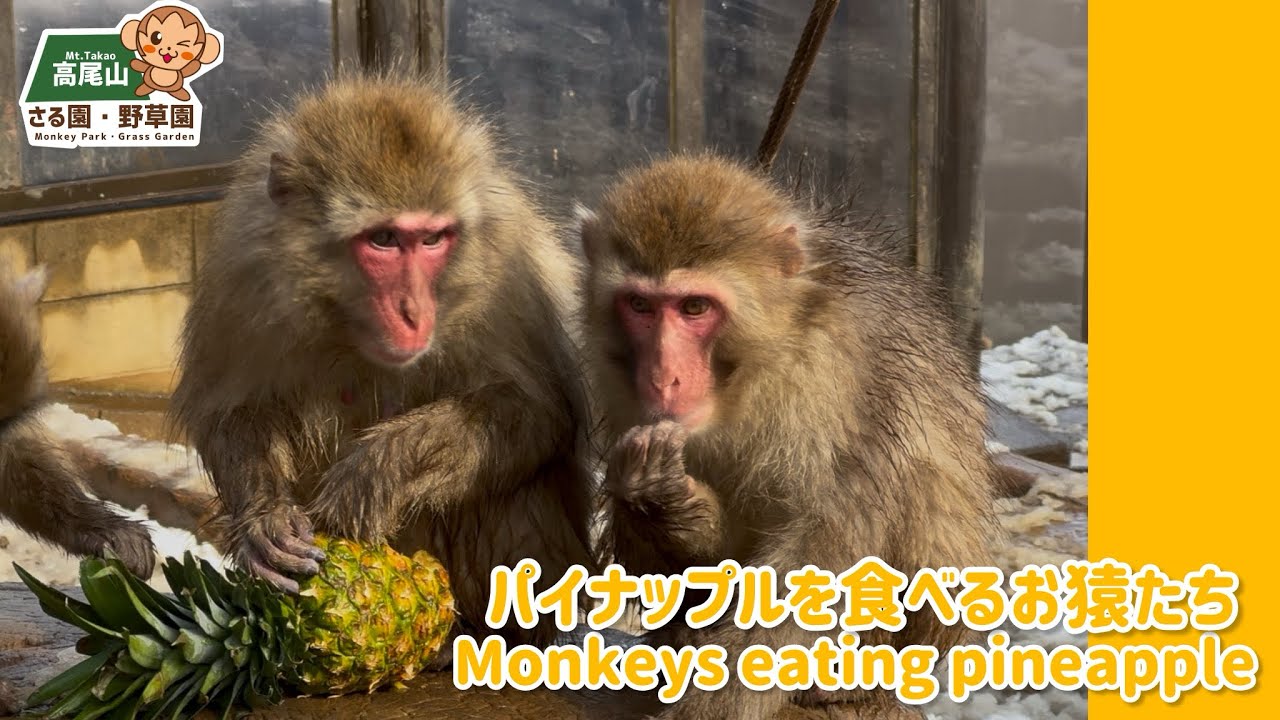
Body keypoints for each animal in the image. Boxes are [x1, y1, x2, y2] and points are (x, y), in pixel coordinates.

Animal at [170, 72, 596, 646]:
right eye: (384, 239)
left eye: (433, 238)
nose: (413, 311)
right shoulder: (242, 275)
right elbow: (234, 413)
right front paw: (266, 517)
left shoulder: (506, 270)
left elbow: (537, 413)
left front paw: (379, 470)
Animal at [577, 156, 998, 719]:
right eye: (640, 305)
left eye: (694, 307)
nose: (663, 377)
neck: (763, 363)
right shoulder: (621, 391)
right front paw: (661, 497)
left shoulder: (841, 379)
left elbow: (822, 549)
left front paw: (710, 704)